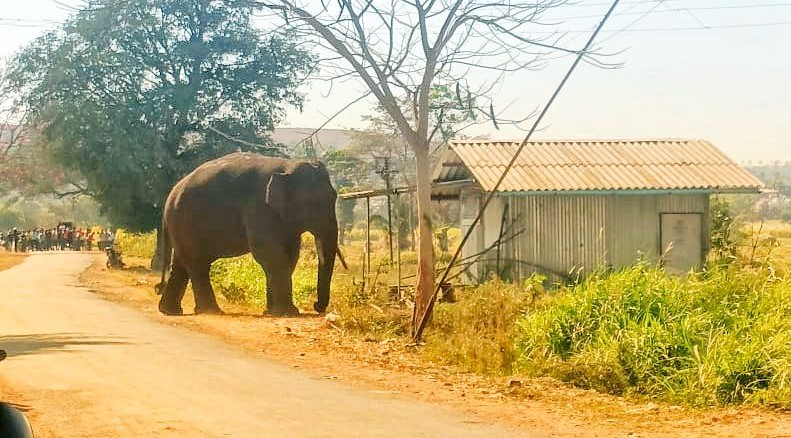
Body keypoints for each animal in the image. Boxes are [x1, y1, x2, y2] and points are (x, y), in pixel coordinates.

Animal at [155, 152, 340, 316]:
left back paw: (170, 311)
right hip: (184, 221)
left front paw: (271, 312)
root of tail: (169, 198)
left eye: (334, 197)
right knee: (197, 263)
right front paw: (289, 313)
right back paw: (210, 311)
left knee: (182, 264)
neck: (287, 166)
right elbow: (268, 252)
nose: (316, 306)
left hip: (181, 225)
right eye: (315, 203)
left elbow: (289, 255)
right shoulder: (259, 207)